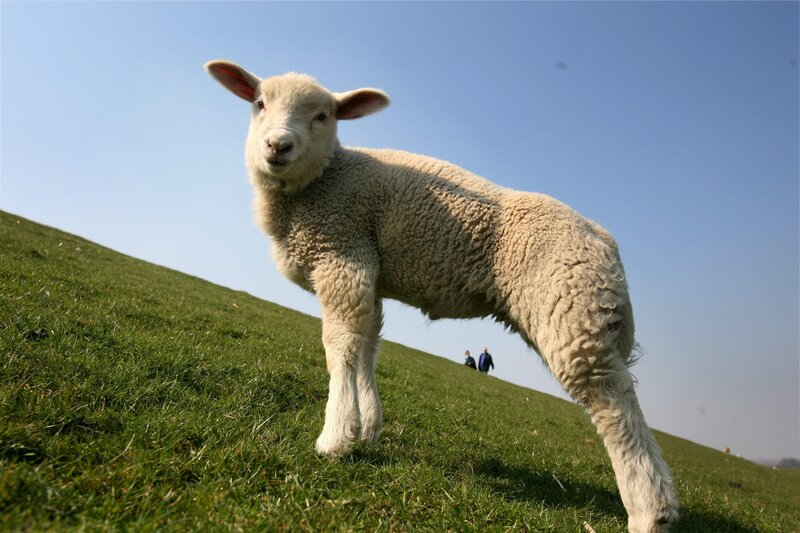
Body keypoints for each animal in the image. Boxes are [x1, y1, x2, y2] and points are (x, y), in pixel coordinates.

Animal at [205, 60, 679, 533]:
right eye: (259, 104)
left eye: (323, 116)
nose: (277, 145)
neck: (323, 181)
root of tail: (603, 239)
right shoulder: (368, 273)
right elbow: (367, 347)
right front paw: (369, 427)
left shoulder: (343, 256)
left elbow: (339, 347)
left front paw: (336, 438)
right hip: (587, 309)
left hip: (570, 307)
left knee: (612, 400)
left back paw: (649, 511)